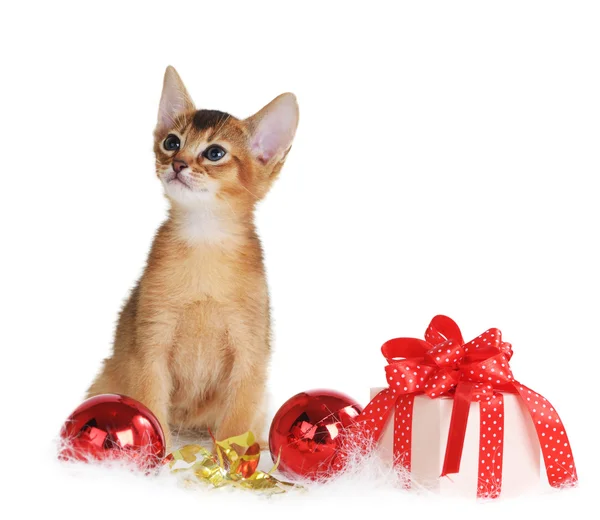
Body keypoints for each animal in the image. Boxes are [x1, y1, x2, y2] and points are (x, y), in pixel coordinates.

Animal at [86, 66, 298, 446]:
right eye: (171, 142)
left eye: (215, 153)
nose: (178, 164)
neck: (204, 242)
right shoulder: (152, 342)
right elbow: (152, 407)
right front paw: (161, 454)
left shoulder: (250, 352)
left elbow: (236, 425)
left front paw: (232, 457)